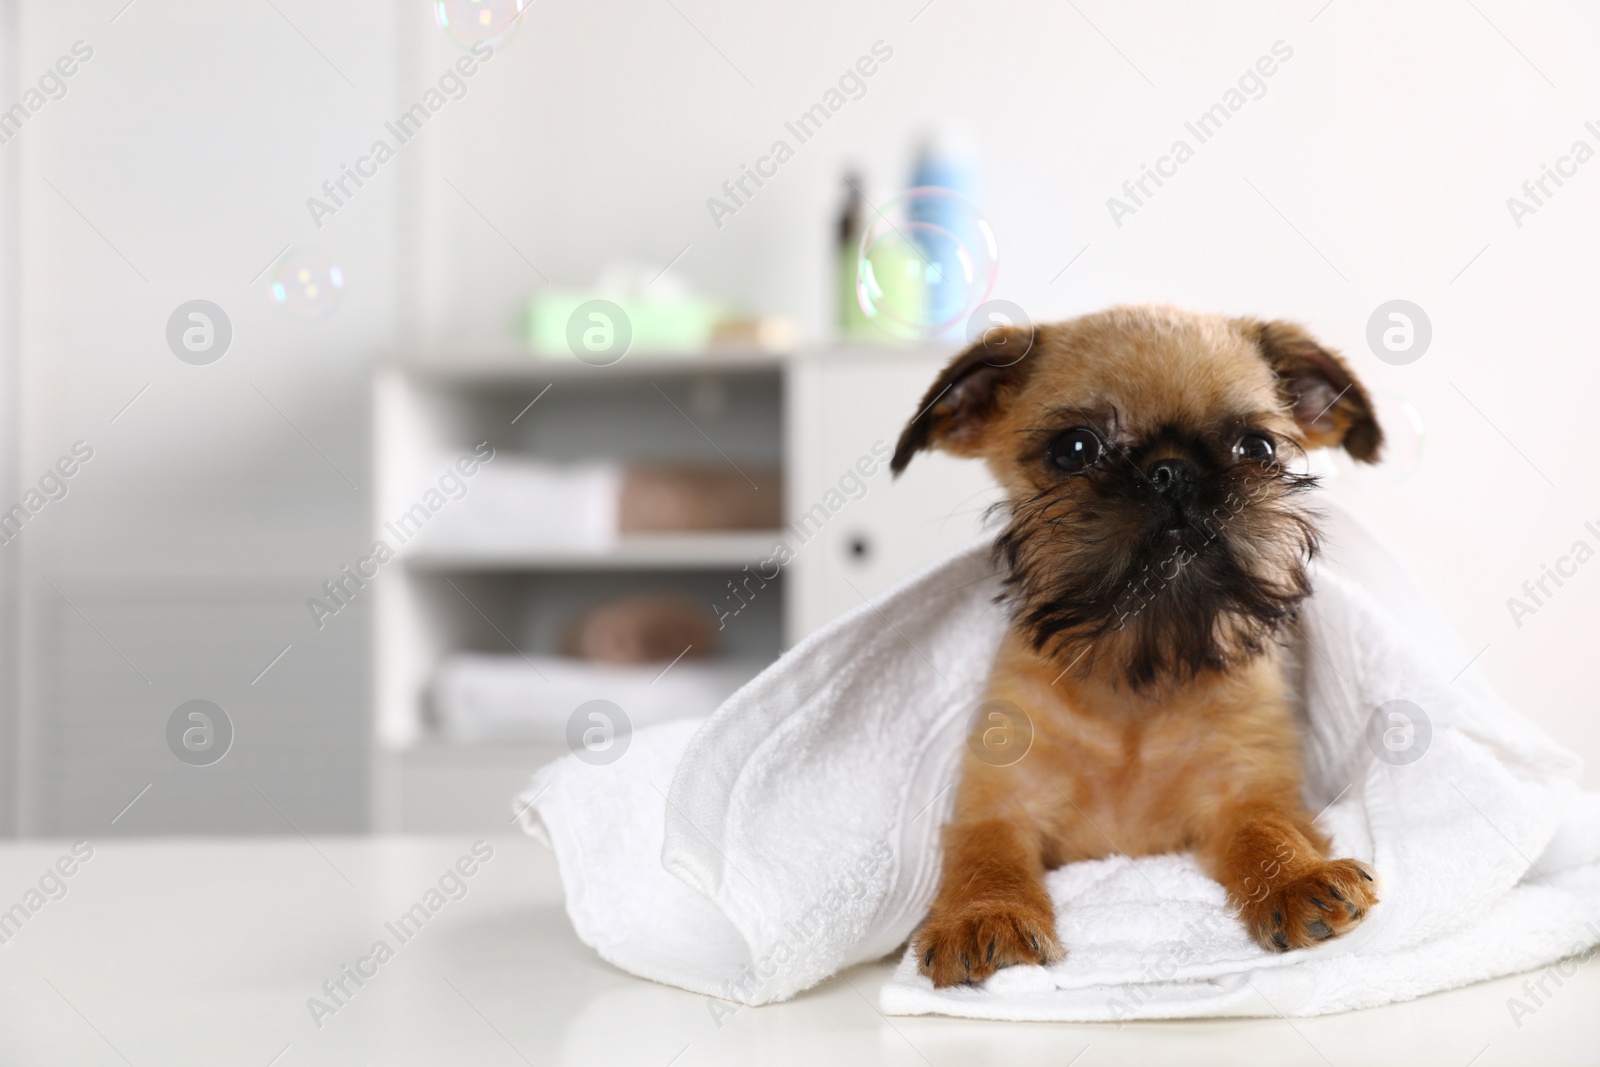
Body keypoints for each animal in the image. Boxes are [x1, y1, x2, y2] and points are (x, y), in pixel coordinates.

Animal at [896, 303, 1382, 991]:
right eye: (1075, 449)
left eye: (1256, 448)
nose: (1172, 471)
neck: (1136, 677)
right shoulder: (999, 804)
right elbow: (985, 853)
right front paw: (983, 914)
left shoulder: (1247, 788)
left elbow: (1266, 829)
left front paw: (1298, 877)